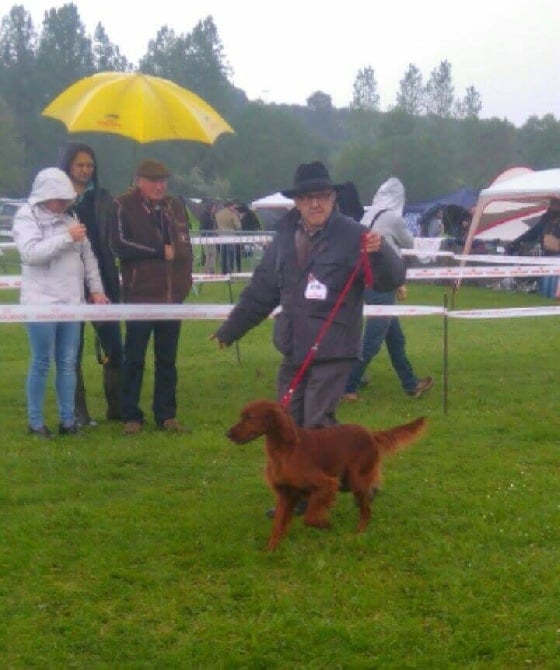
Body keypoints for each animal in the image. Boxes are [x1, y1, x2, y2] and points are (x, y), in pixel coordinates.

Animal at [225, 400, 426, 552]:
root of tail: (370, 433)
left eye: (249, 418)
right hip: (347, 482)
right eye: (242, 416)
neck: (285, 449)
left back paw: (359, 532)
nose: (227, 433)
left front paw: (325, 524)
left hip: (354, 480)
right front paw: (270, 550)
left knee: (366, 510)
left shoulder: (326, 484)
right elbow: (278, 525)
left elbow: (310, 517)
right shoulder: (285, 494)